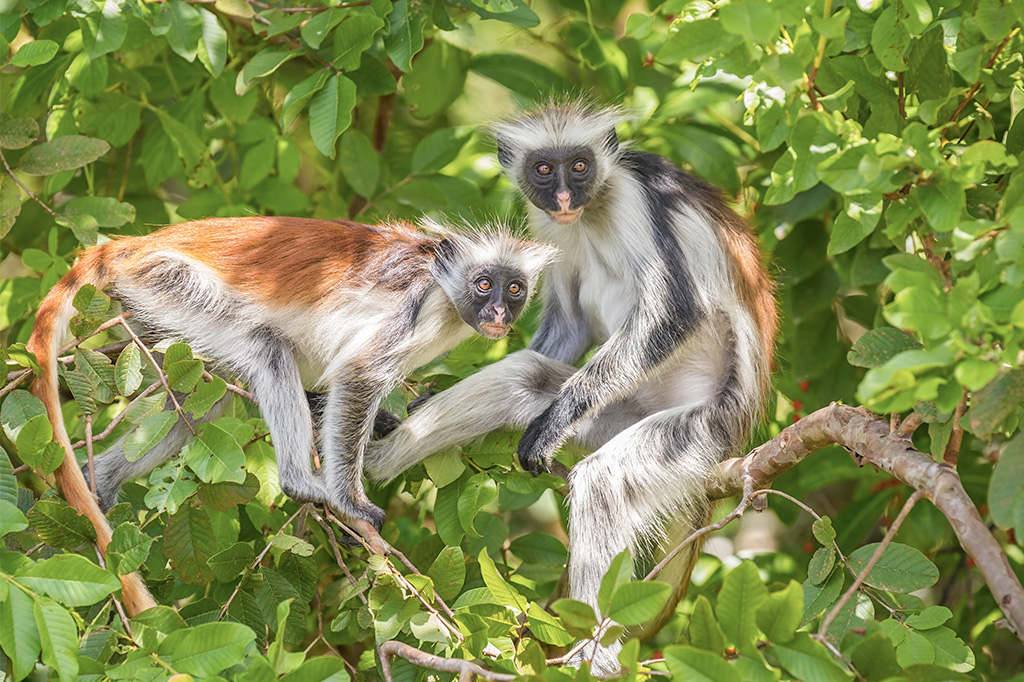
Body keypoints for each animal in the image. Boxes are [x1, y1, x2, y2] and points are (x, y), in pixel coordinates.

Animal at [26, 215, 556, 615]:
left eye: (514, 289)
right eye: (483, 284)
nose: (498, 313)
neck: (443, 286)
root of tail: (132, 245)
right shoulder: (414, 307)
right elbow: (357, 375)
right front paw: (350, 502)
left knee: (200, 401)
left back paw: (101, 482)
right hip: (167, 281)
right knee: (267, 348)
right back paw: (301, 482)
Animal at [363, 102, 777, 673]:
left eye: (580, 167)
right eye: (544, 169)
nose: (563, 197)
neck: (592, 208)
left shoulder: (635, 196)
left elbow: (675, 312)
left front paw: (554, 421)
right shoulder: (547, 225)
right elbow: (570, 324)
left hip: (702, 426)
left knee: (603, 481)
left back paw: (596, 658)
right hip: (618, 411)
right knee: (525, 376)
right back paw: (371, 460)